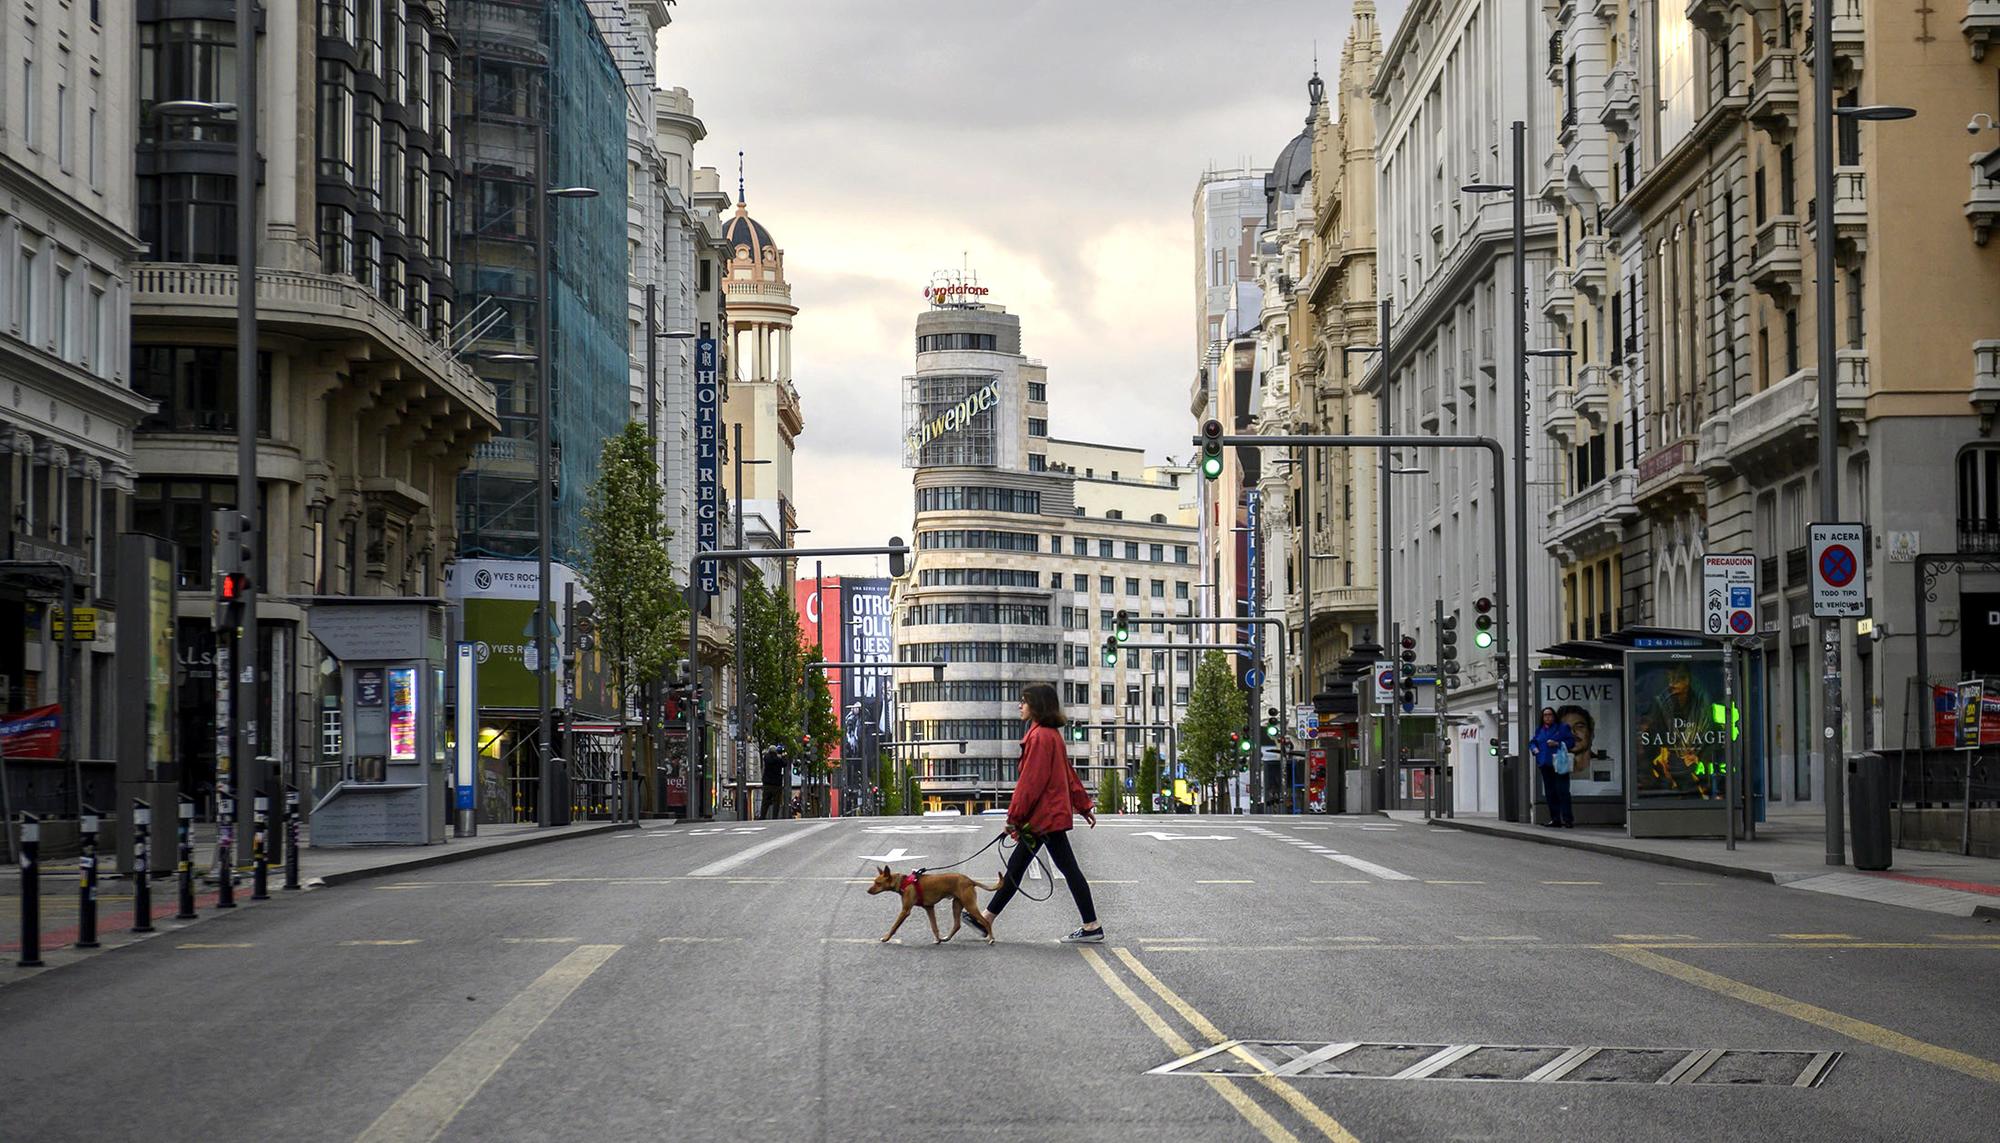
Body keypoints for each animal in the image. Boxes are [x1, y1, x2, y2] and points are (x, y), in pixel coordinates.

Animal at [872, 867, 1008, 947]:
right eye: (874, 881)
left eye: (878, 883)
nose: (868, 890)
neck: (904, 882)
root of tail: (970, 880)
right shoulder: (929, 908)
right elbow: (934, 927)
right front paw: (937, 940)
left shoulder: (905, 911)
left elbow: (894, 926)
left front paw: (886, 938)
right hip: (956, 905)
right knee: (957, 925)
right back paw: (947, 938)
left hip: (970, 905)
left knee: (985, 922)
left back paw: (991, 938)